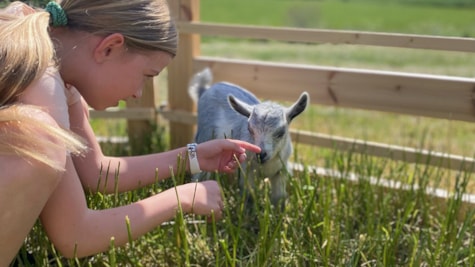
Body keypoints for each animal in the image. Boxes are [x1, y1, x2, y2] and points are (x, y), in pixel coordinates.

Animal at [188, 67, 310, 209]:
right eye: (250, 129)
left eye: (281, 132)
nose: (261, 154)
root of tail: (205, 89)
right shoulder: (247, 170)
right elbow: (249, 194)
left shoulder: (281, 171)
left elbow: (279, 197)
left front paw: (279, 212)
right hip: (205, 133)